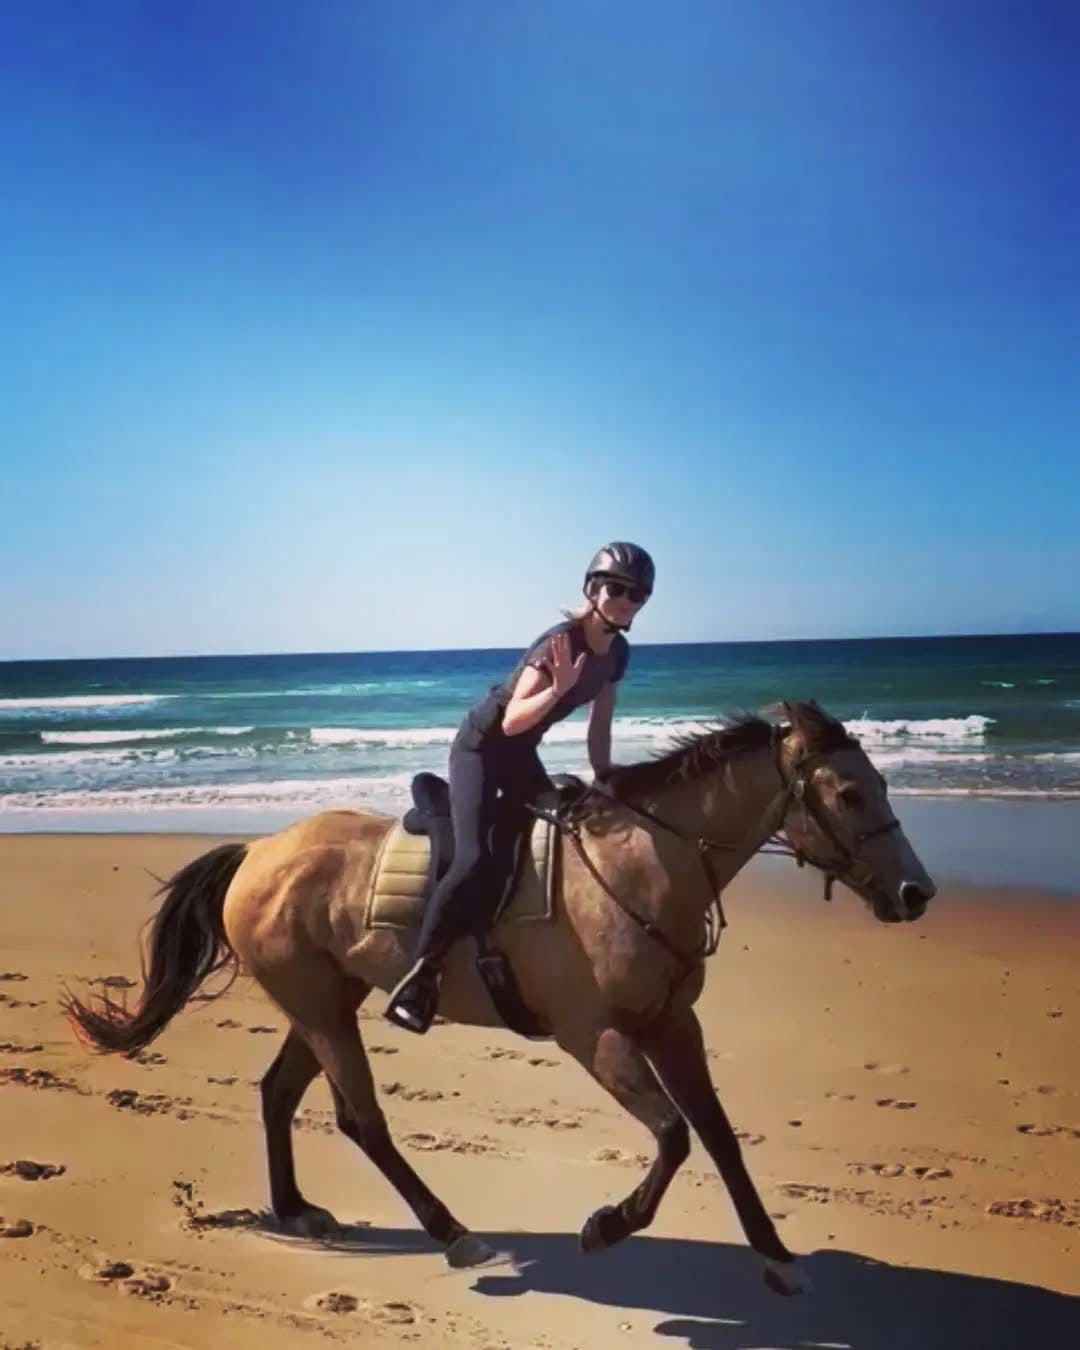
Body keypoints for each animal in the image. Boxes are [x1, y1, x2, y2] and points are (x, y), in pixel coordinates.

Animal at [64, 701, 936, 1297]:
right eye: (849, 795)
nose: (916, 892)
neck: (644, 864)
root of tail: (257, 852)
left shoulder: (670, 1024)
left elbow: (718, 1137)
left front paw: (778, 1259)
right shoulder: (595, 1036)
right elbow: (673, 1136)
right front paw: (608, 1226)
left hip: (324, 1001)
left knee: (279, 1091)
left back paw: (297, 1210)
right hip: (321, 1009)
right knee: (361, 1119)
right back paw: (453, 1232)